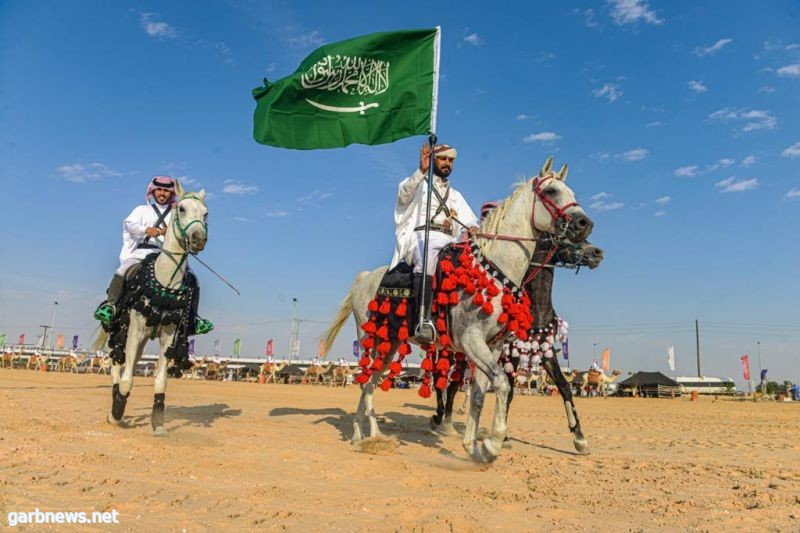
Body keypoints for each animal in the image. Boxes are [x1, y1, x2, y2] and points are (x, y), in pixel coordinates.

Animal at [99, 181, 209, 434]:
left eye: (206, 214)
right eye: (181, 209)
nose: (198, 238)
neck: (165, 283)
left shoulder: (169, 335)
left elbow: (161, 381)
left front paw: (158, 423)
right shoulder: (135, 330)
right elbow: (127, 378)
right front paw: (117, 413)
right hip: (122, 332)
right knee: (117, 365)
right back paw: (114, 408)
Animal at [324, 156, 592, 460]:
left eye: (571, 193)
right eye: (551, 191)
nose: (585, 224)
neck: (495, 271)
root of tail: (365, 278)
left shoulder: (494, 346)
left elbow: (479, 393)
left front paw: (471, 445)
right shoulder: (472, 341)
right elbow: (501, 384)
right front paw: (492, 442)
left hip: (389, 344)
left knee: (370, 381)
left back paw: (367, 434)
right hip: (371, 340)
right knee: (365, 380)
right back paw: (367, 435)